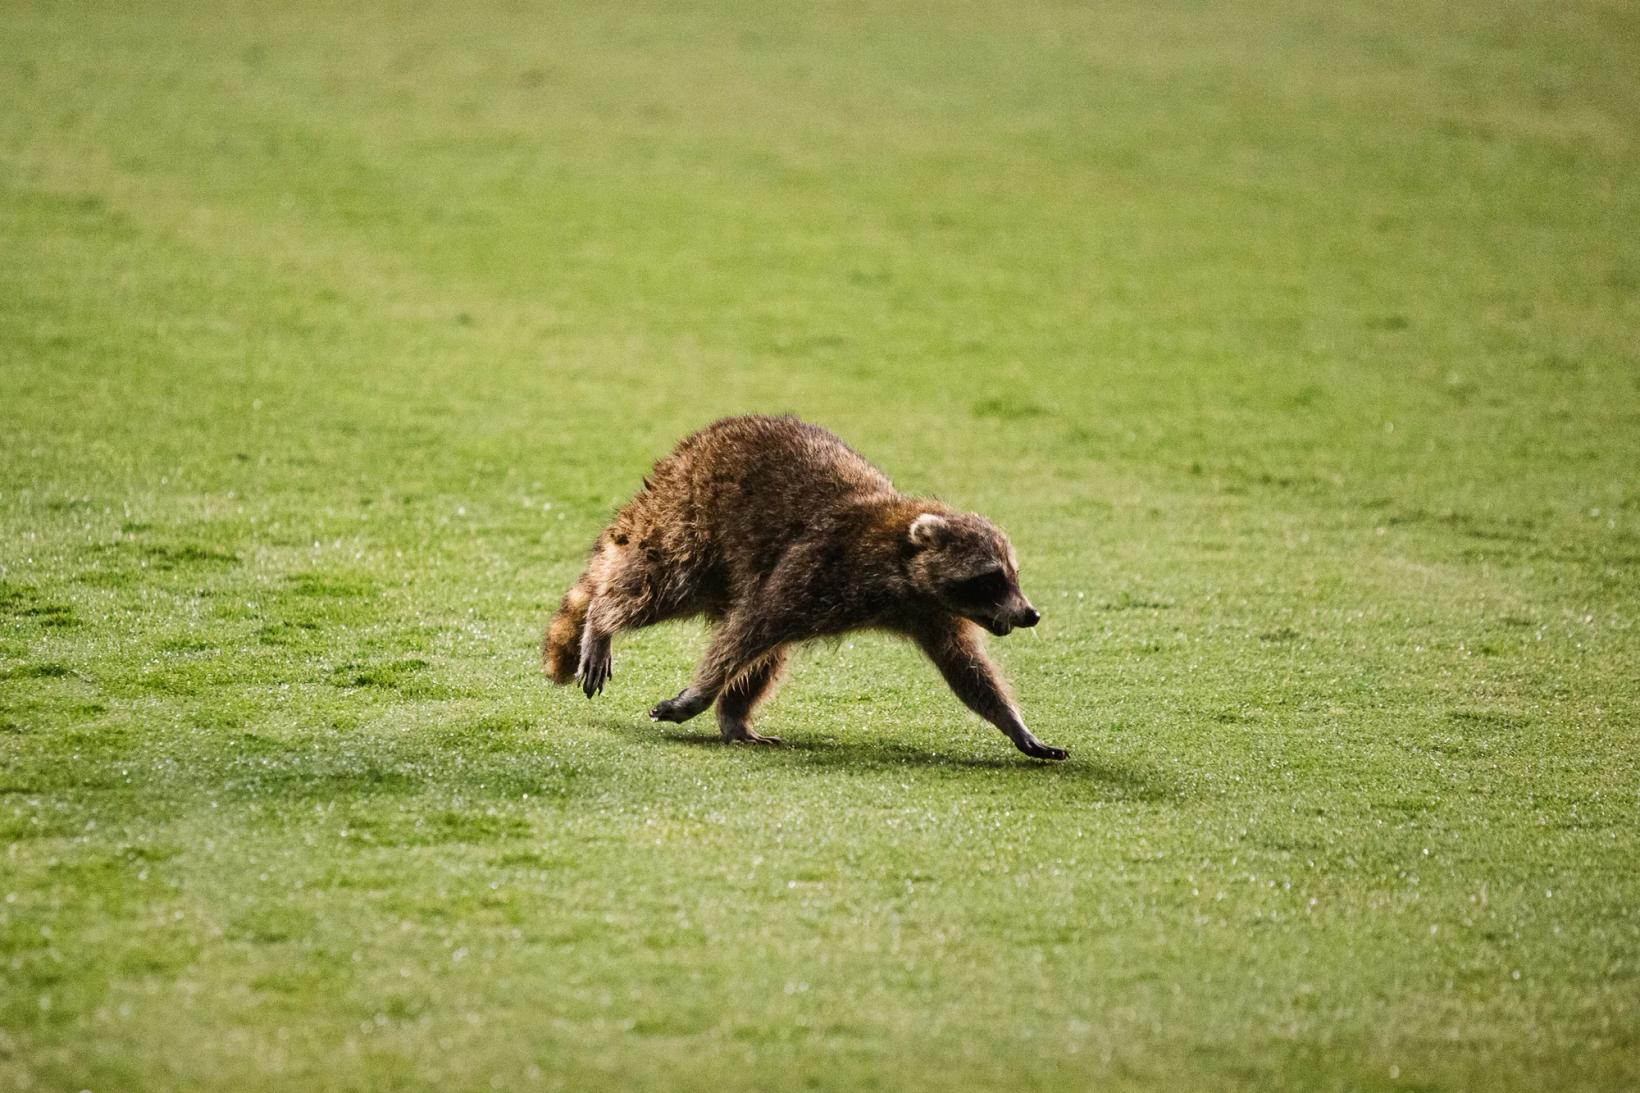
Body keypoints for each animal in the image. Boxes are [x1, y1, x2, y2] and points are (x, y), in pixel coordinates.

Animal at [543, 415, 1065, 760]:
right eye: (991, 578)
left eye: (1013, 575)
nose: (1030, 614)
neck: (902, 560)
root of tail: (681, 458)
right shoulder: (819, 565)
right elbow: (753, 626)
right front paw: (699, 693)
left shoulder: (931, 611)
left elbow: (967, 669)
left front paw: (1015, 725)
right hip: (693, 530)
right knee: (661, 587)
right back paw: (603, 620)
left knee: (767, 656)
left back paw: (735, 719)